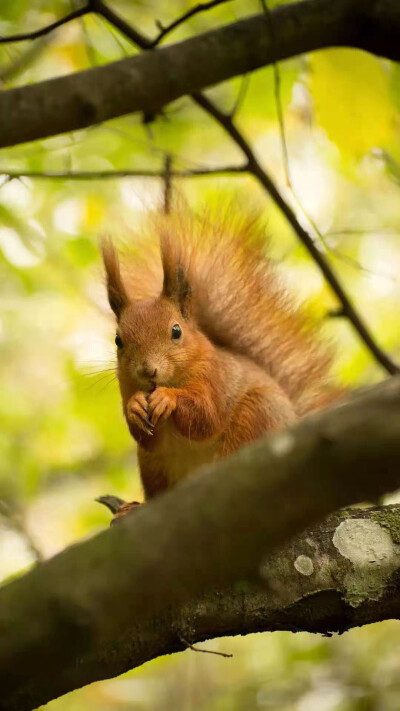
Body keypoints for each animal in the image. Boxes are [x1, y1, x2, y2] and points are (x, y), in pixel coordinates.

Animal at [99, 210, 338, 524]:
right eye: (118, 340)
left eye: (176, 331)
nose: (147, 371)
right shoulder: (126, 388)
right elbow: (143, 434)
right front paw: (136, 407)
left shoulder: (215, 377)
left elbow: (206, 417)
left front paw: (167, 398)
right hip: (154, 467)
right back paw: (135, 508)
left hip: (255, 418)